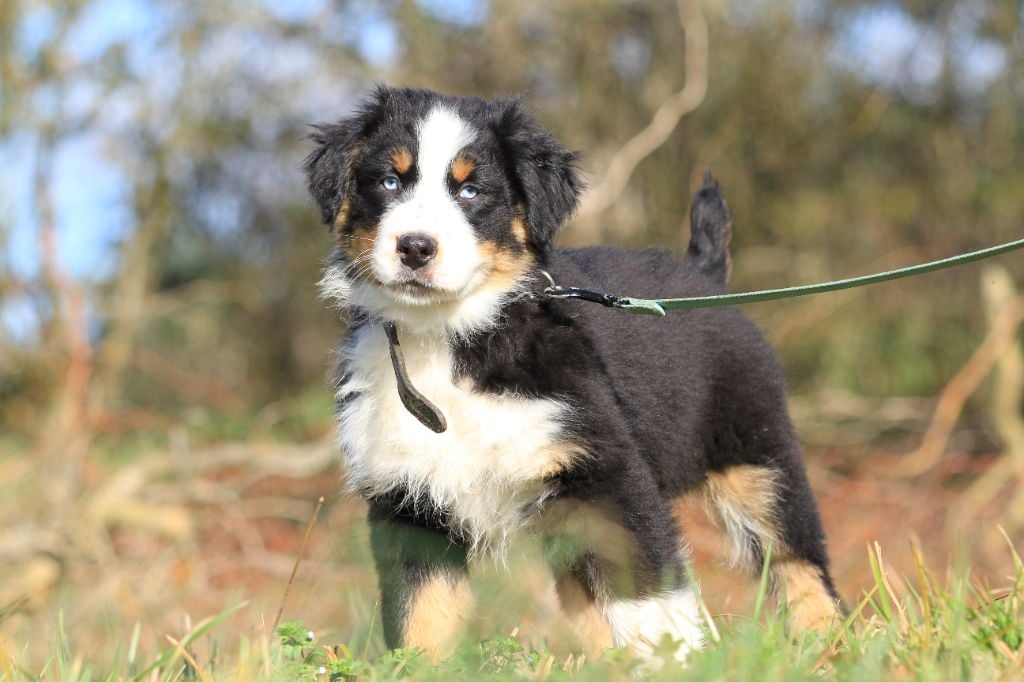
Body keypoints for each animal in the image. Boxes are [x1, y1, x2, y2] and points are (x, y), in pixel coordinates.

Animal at [303, 83, 839, 659]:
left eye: (470, 191)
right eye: (388, 181)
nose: (415, 247)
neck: (449, 338)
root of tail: (705, 277)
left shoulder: (609, 474)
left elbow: (647, 600)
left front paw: (672, 661)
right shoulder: (410, 502)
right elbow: (420, 618)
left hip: (757, 457)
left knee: (800, 561)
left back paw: (828, 646)